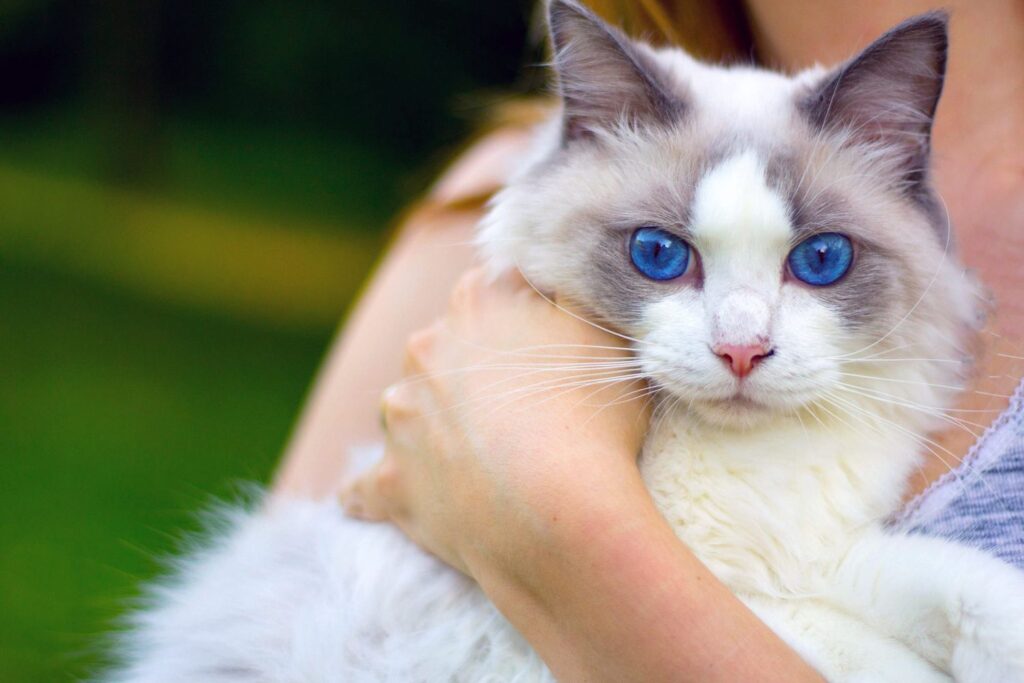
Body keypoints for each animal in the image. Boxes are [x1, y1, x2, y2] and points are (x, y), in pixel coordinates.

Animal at [112, 2, 1024, 679]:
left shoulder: (819, 557)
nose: (741, 352)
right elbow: (851, 647)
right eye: (659, 254)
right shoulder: (663, 609)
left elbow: (960, 594)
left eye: (821, 260)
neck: (740, 478)